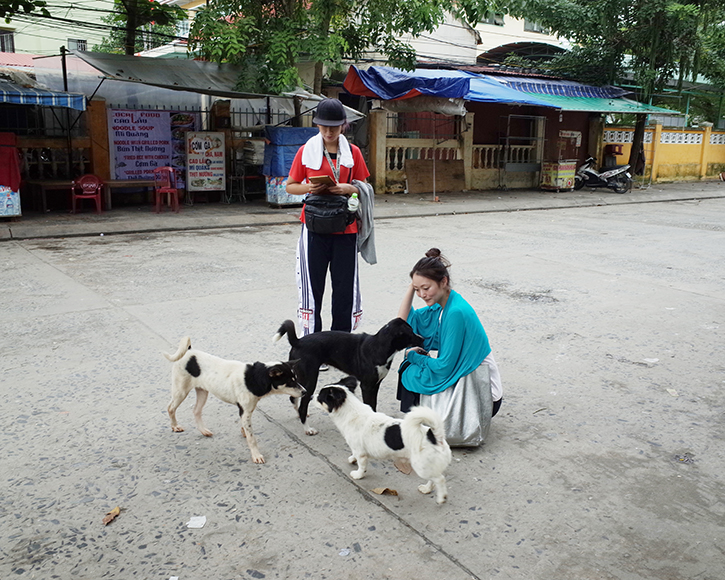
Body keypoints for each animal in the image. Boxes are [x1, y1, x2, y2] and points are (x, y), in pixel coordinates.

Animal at [163, 336, 304, 464]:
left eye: (295, 378)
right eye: (290, 382)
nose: (305, 392)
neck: (255, 377)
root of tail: (189, 351)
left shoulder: (245, 410)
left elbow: (245, 429)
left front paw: (244, 432)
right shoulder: (245, 411)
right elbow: (252, 438)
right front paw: (256, 455)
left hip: (202, 392)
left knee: (196, 411)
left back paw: (203, 431)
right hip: (181, 391)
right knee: (170, 408)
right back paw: (175, 426)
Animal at [273, 318, 424, 435]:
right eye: (410, 332)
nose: (423, 338)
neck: (379, 346)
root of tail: (298, 341)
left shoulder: (375, 385)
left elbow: (373, 405)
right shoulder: (367, 386)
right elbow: (370, 405)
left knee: (293, 397)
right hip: (310, 379)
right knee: (302, 405)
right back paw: (307, 428)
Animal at [317, 377, 452, 504]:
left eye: (319, 397)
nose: (313, 396)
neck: (351, 411)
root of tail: (434, 436)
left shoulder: (360, 452)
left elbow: (361, 466)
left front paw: (358, 475)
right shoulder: (357, 449)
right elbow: (354, 456)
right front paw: (352, 459)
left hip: (421, 467)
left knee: (440, 479)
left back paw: (441, 497)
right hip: (427, 466)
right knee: (433, 479)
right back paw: (426, 489)